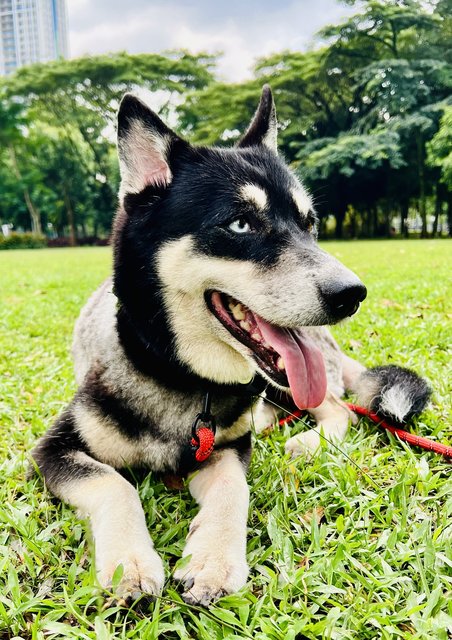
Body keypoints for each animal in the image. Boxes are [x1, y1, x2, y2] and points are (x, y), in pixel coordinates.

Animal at [32, 87, 430, 608]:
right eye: (240, 225)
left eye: (309, 222)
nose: (352, 294)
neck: (183, 377)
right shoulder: (52, 451)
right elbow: (114, 483)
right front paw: (129, 564)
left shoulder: (230, 449)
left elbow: (232, 489)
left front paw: (214, 561)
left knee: (339, 408)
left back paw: (304, 440)